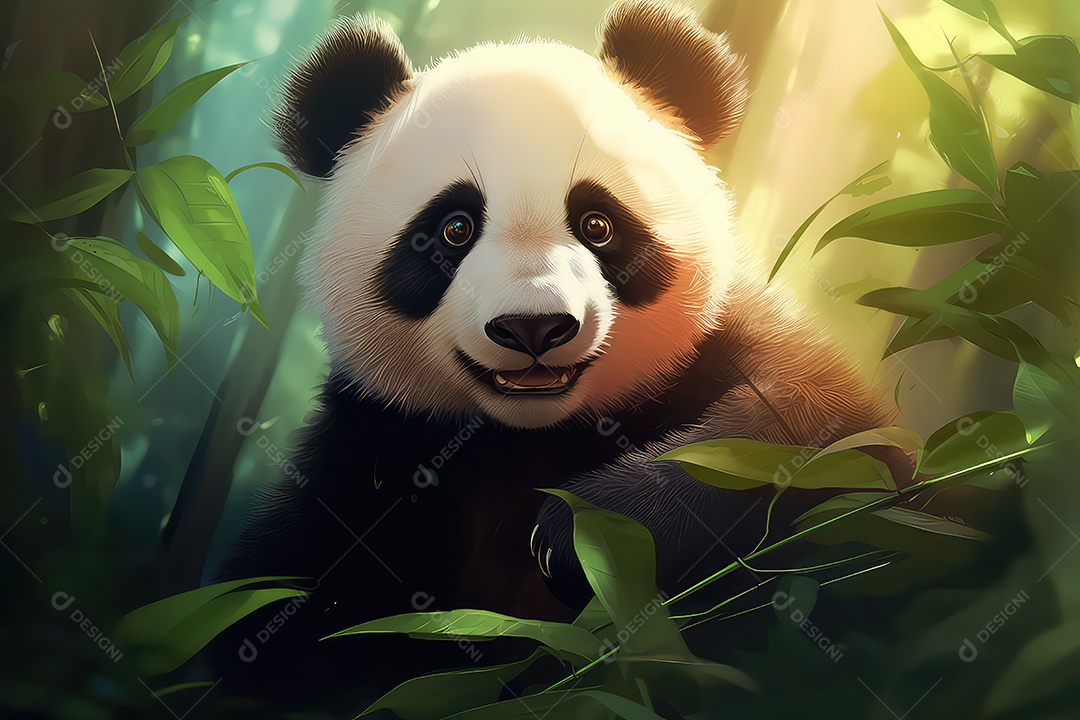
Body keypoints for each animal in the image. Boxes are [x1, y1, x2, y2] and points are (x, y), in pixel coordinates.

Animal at [219, 0, 904, 706]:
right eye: (454, 228)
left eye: (597, 224)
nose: (533, 327)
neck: (531, 439)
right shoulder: (368, 451)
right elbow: (277, 625)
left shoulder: (728, 344)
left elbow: (819, 435)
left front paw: (576, 534)